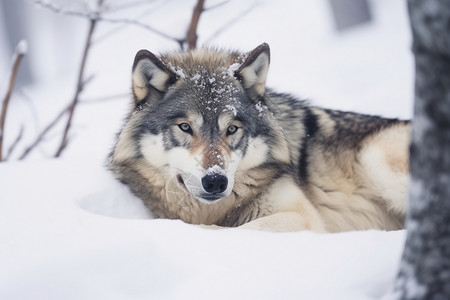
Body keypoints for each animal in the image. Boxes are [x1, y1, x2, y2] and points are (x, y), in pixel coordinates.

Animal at [107, 44, 410, 232]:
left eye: (232, 129)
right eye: (185, 127)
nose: (216, 181)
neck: (212, 210)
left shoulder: (301, 216)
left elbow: (232, 231)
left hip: (376, 157)